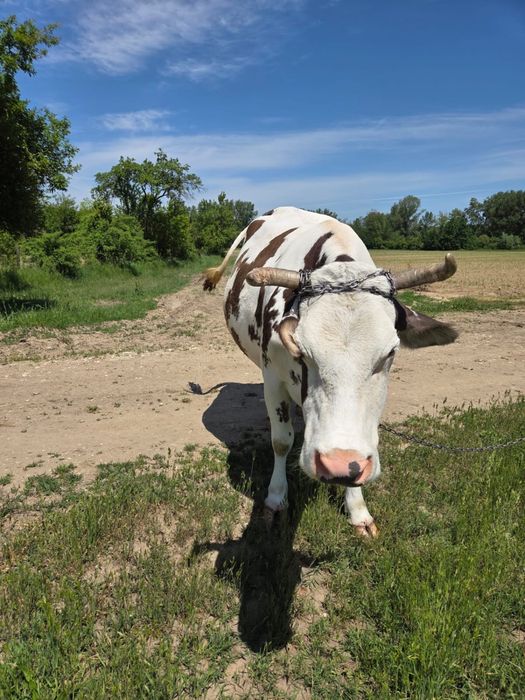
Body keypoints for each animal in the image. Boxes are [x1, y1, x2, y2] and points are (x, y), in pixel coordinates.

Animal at [203, 207, 458, 537]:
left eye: (390, 353)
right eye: (302, 351)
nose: (337, 464)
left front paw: (358, 510)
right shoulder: (272, 376)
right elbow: (281, 440)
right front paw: (275, 499)